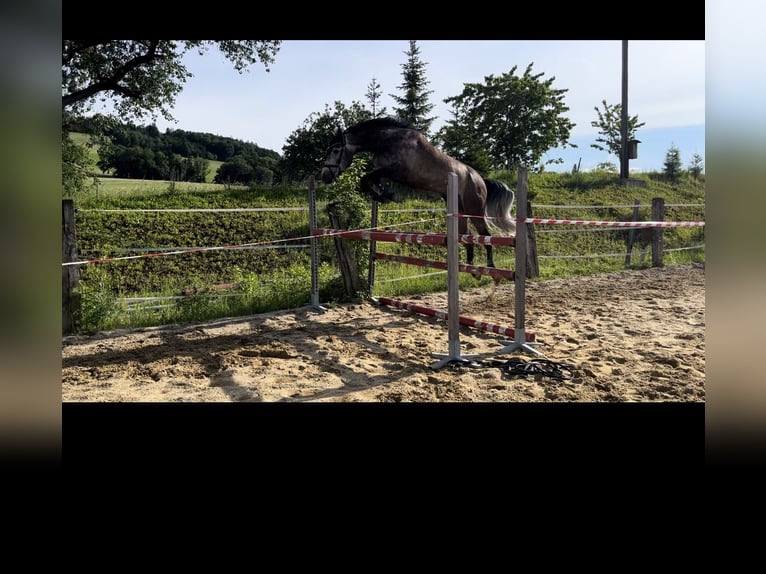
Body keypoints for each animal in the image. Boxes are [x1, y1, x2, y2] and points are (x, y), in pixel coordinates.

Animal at [320, 118, 520, 272]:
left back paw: (490, 267)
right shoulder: (387, 172)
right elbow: (370, 180)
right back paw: (470, 268)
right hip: (459, 209)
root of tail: (481, 180)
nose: (325, 176)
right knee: (467, 236)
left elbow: (366, 178)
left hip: (474, 209)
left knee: (485, 235)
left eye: (336, 151)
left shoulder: (398, 171)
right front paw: (384, 194)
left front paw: (386, 195)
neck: (387, 141)